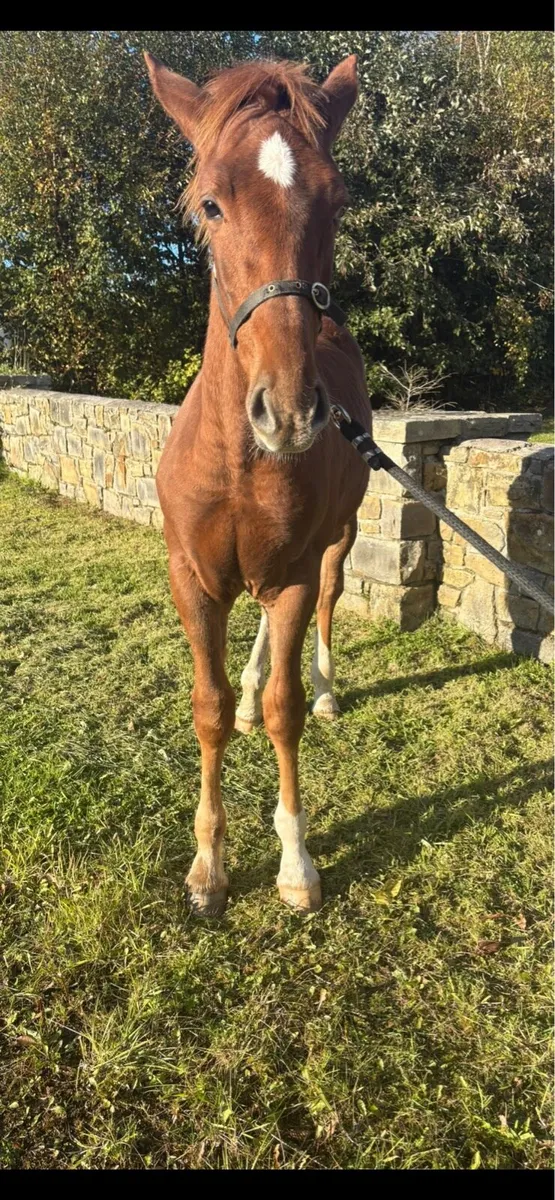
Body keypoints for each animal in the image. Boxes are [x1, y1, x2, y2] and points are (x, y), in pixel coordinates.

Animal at [144, 50, 371, 916]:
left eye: (336, 200)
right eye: (211, 203)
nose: (289, 411)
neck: (239, 462)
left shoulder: (294, 573)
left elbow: (286, 709)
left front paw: (296, 863)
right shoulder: (193, 578)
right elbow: (207, 709)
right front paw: (208, 866)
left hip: (338, 541)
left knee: (324, 610)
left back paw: (328, 688)